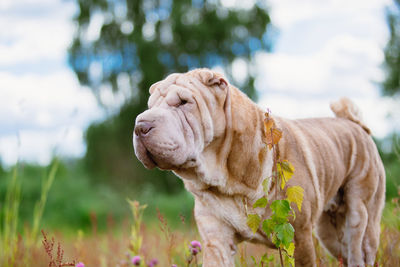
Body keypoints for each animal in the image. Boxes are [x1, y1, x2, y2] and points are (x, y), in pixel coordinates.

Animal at [133, 69, 386, 267]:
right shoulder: (216, 239)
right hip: (329, 233)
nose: (140, 126)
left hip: (361, 214)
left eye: (183, 103)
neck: (227, 179)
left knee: (360, 249)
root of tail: (356, 125)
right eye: (150, 106)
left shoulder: (299, 235)